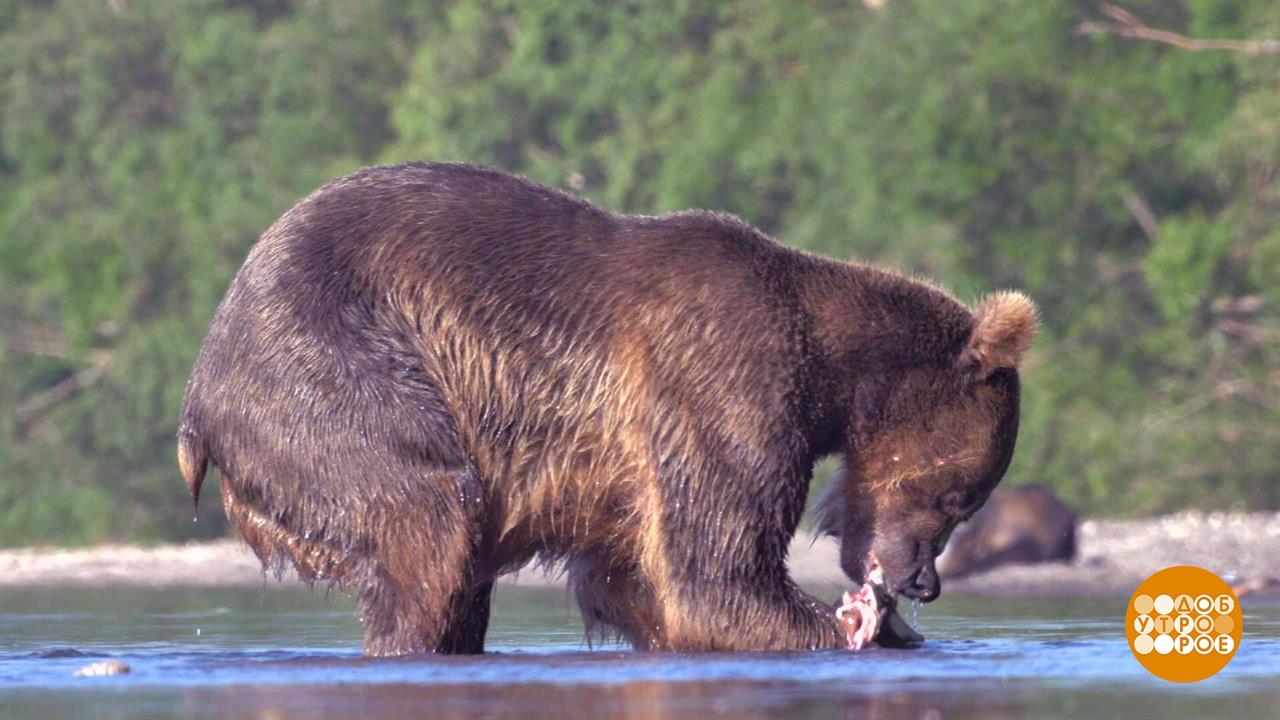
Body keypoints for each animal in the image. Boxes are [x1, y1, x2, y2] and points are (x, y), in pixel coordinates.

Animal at [177, 161, 1039, 650]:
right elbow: (716, 576)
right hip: (331, 371)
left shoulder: (624, 466)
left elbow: (635, 580)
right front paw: (845, 627)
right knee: (427, 512)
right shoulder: (722, 380)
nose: (923, 582)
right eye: (960, 498)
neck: (833, 366)